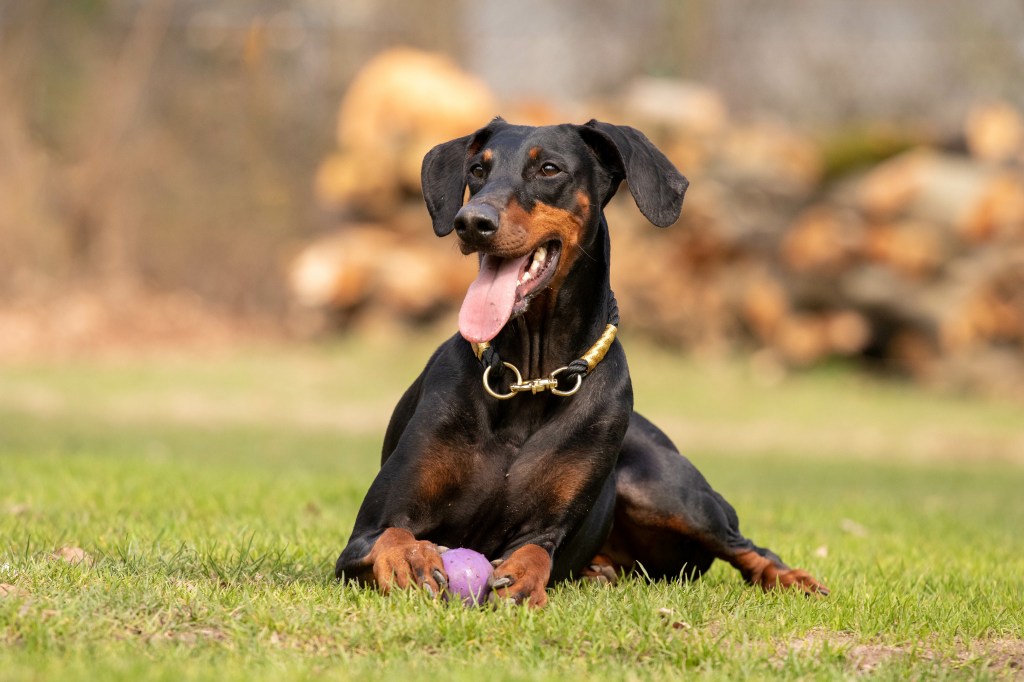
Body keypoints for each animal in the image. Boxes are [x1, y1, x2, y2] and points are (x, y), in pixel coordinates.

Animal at [337, 119, 831, 602]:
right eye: (477, 169)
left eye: (549, 169)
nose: (471, 221)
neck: (530, 377)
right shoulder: (364, 533)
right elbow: (391, 535)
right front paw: (413, 559)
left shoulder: (546, 529)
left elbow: (537, 553)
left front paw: (521, 580)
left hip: (666, 488)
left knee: (747, 545)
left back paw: (795, 580)